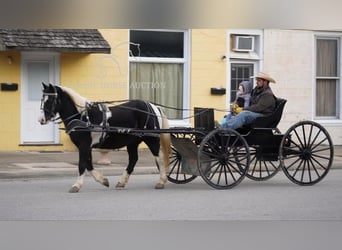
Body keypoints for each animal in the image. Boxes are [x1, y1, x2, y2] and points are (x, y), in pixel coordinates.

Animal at [39, 83, 171, 192]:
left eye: (50, 99)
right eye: (42, 99)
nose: (41, 120)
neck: (82, 117)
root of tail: (153, 107)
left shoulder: (84, 145)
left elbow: (82, 164)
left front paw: (76, 185)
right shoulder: (86, 146)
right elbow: (88, 164)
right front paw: (103, 180)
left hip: (151, 139)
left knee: (159, 157)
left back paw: (161, 181)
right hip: (132, 142)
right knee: (133, 159)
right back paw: (121, 182)